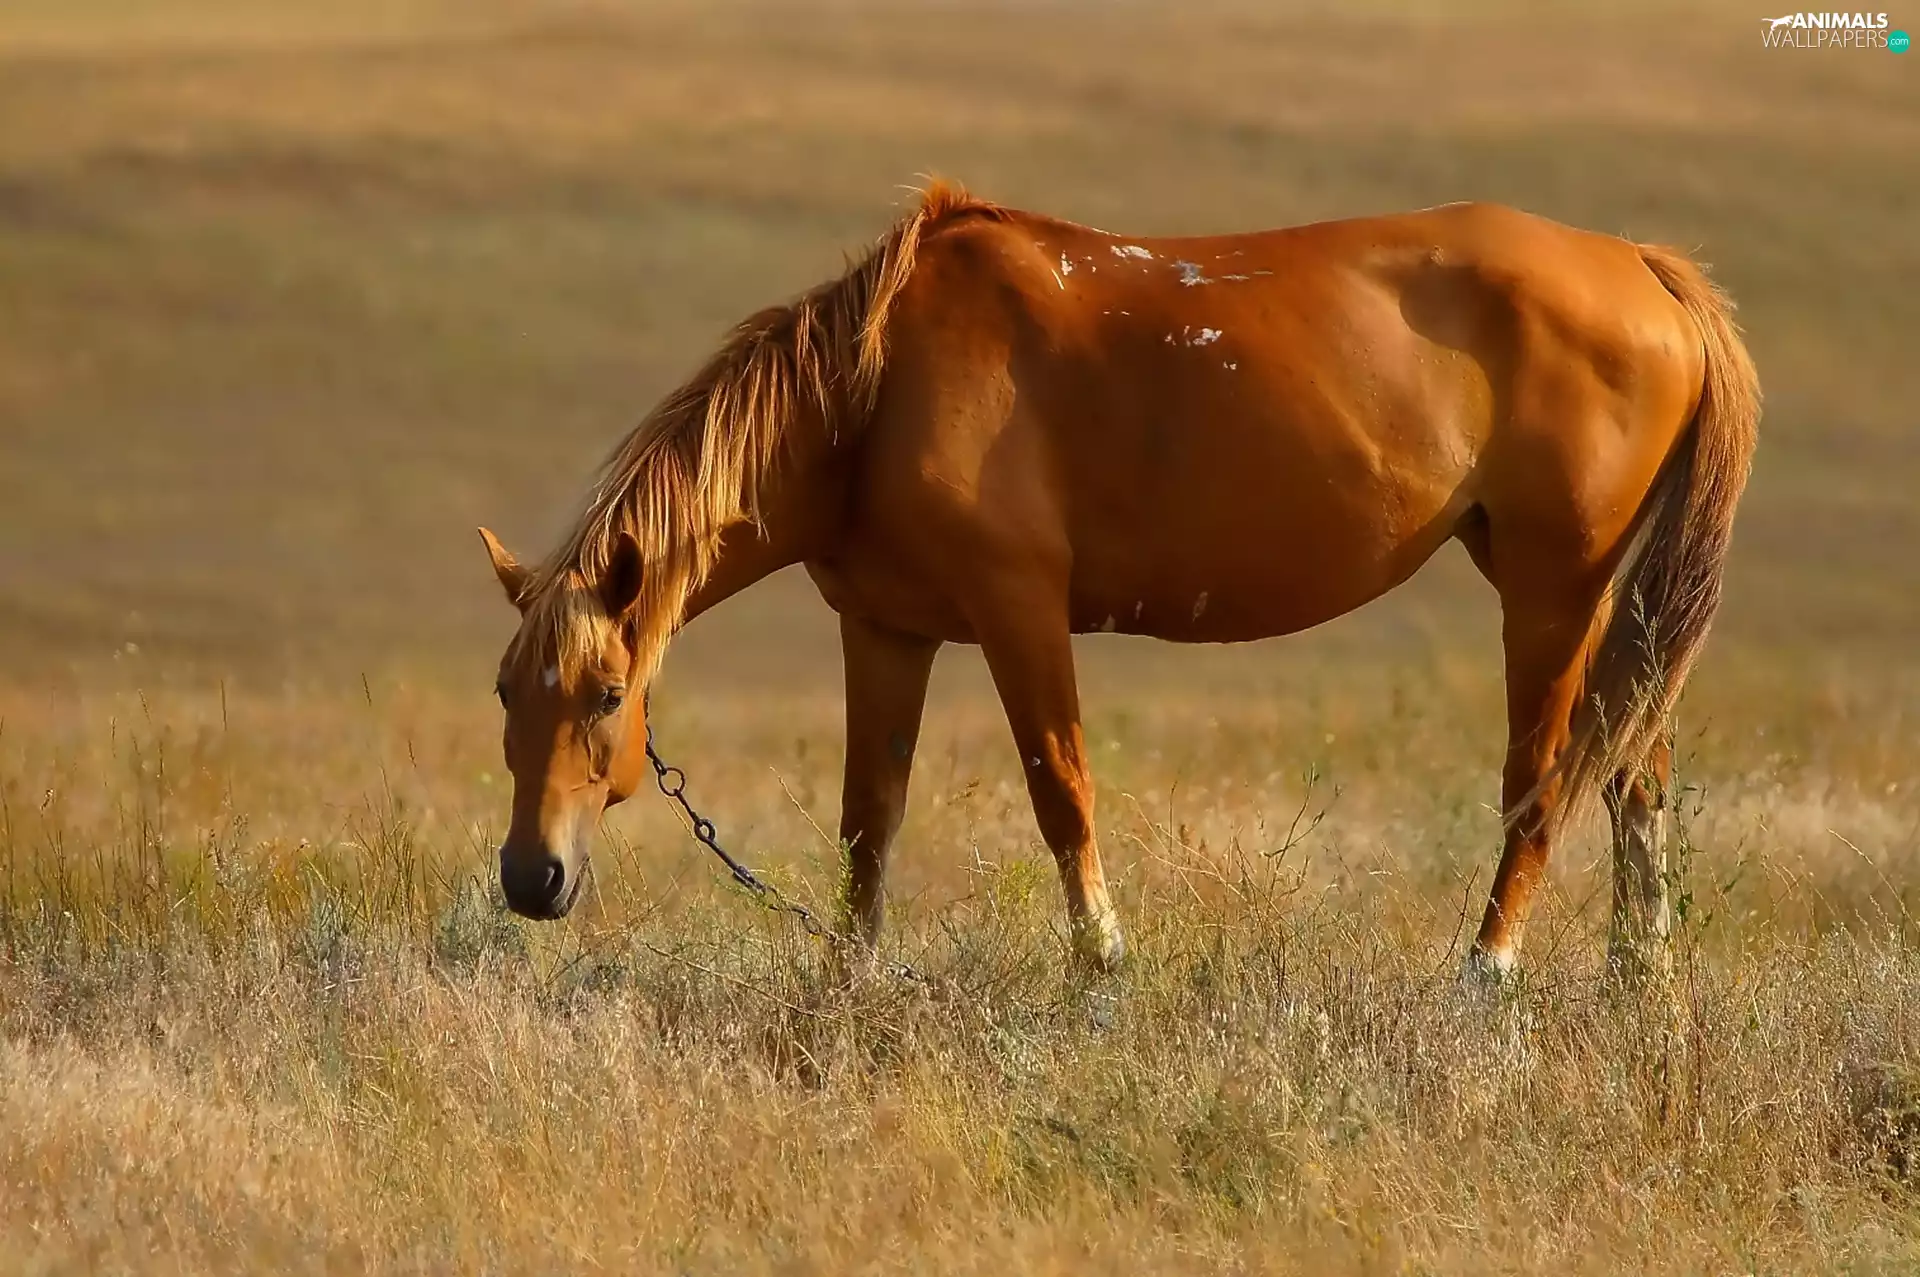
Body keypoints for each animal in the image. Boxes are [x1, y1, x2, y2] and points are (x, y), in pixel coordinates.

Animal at [478, 181, 1758, 984]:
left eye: (606, 694)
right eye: (505, 694)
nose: (532, 878)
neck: (876, 389)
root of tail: (1645, 271)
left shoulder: (1020, 611)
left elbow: (1064, 792)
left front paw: (1103, 970)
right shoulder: (887, 630)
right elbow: (868, 823)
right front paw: (848, 979)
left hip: (1551, 589)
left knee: (1544, 779)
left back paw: (1485, 976)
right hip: (1588, 596)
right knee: (1635, 767)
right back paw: (1637, 981)